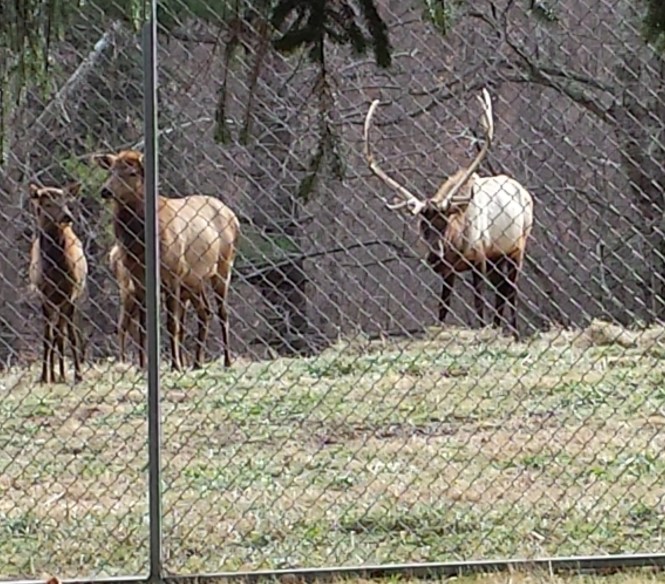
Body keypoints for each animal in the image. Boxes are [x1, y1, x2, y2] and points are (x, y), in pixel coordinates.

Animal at [28, 182, 88, 383]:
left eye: (65, 201)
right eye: (47, 203)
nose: (67, 217)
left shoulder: (69, 294)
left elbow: (70, 336)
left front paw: (78, 374)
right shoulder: (44, 296)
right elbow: (47, 337)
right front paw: (44, 376)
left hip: (70, 298)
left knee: (62, 333)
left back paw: (62, 374)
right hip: (54, 302)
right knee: (56, 333)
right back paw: (55, 375)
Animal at [93, 150, 240, 371]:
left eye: (132, 172)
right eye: (111, 170)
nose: (105, 191)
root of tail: (234, 217)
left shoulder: (172, 275)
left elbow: (173, 324)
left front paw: (175, 365)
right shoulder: (139, 280)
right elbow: (144, 327)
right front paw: (143, 366)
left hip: (223, 266)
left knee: (222, 312)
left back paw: (227, 360)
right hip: (194, 280)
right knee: (205, 312)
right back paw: (197, 363)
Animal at [363, 88, 534, 338]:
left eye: (444, 222)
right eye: (422, 225)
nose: (435, 255)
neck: (457, 245)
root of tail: (524, 192)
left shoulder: (479, 257)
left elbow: (479, 304)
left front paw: (483, 330)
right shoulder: (448, 270)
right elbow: (443, 308)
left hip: (517, 247)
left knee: (511, 291)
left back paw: (514, 332)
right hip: (498, 255)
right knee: (502, 291)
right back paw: (499, 329)